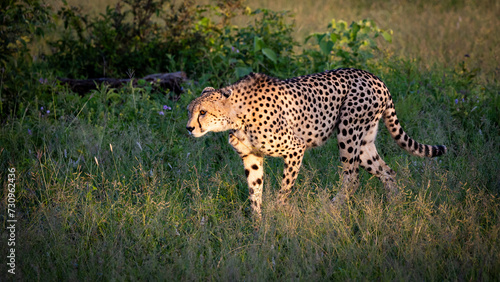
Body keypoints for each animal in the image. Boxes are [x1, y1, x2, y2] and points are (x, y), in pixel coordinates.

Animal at [185, 69, 446, 218]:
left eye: (203, 112)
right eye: (189, 111)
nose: (189, 128)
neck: (237, 116)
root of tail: (373, 76)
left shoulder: (295, 148)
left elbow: (284, 187)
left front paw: (278, 212)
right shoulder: (252, 157)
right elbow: (254, 191)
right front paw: (257, 226)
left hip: (348, 132)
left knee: (351, 178)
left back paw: (329, 209)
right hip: (364, 143)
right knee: (387, 172)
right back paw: (394, 208)